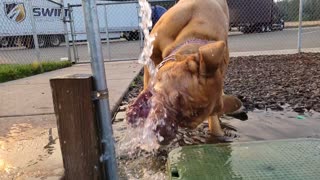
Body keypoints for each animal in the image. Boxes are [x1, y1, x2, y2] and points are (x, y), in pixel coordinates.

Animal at [126, 0, 241, 144]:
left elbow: (214, 119)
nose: (164, 136)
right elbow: (148, 85)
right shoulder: (151, 54)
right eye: (178, 99)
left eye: (185, 123)